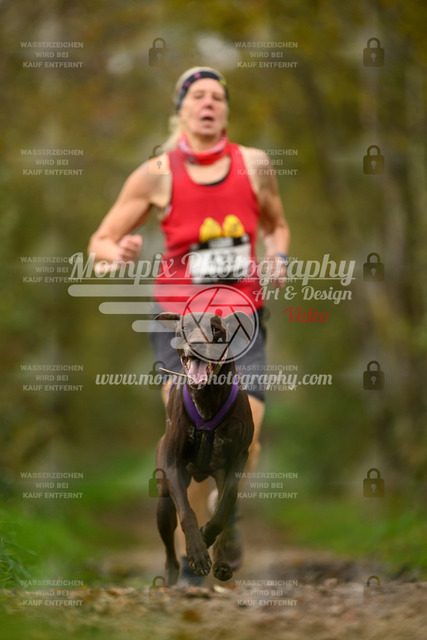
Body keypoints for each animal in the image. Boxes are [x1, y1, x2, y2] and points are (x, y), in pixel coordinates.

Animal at [154, 310, 255, 586]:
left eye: (216, 329)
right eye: (185, 328)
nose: (198, 344)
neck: (207, 396)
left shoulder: (237, 460)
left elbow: (224, 510)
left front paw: (207, 537)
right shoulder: (173, 464)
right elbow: (187, 513)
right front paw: (197, 553)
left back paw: (221, 562)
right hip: (164, 501)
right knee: (169, 544)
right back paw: (172, 573)